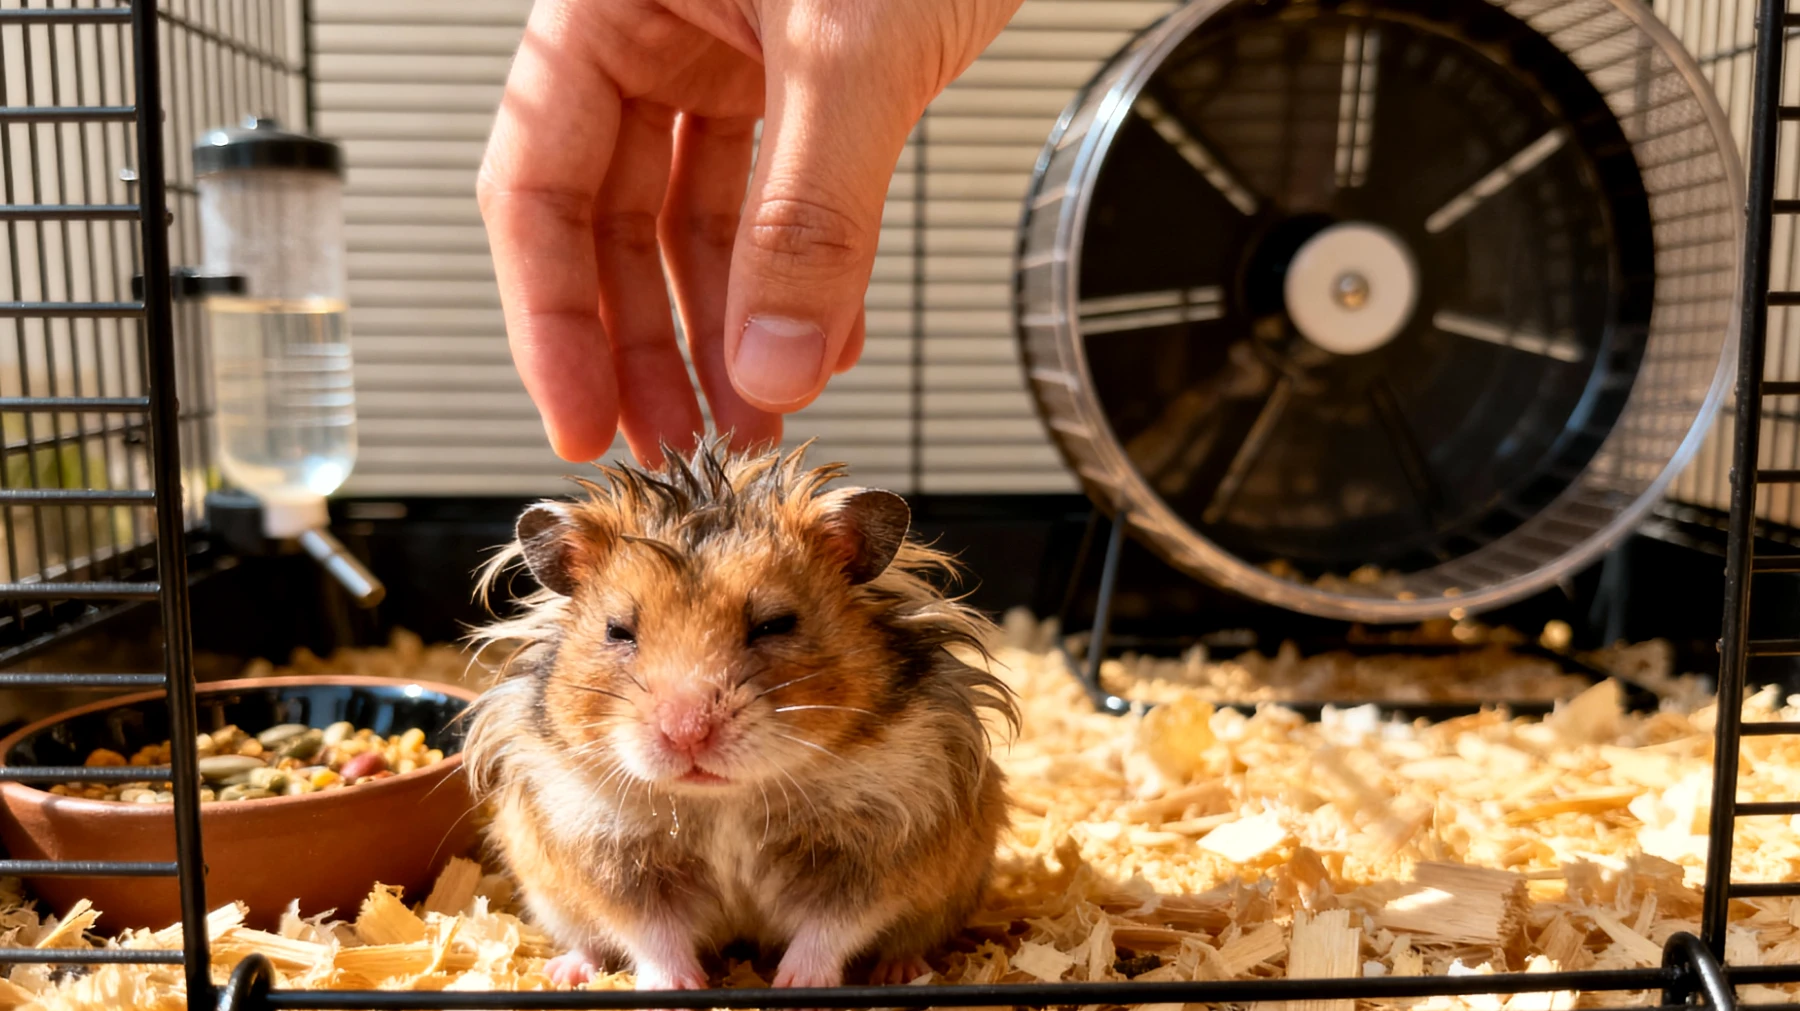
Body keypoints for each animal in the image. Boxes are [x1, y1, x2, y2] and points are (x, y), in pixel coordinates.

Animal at [462, 439, 1019, 991]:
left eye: (775, 624)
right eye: (617, 631)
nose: (687, 734)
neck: (727, 799)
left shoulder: (878, 847)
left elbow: (832, 927)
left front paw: (796, 985)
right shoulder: (607, 852)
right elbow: (651, 932)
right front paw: (677, 987)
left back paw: (901, 970)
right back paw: (566, 971)